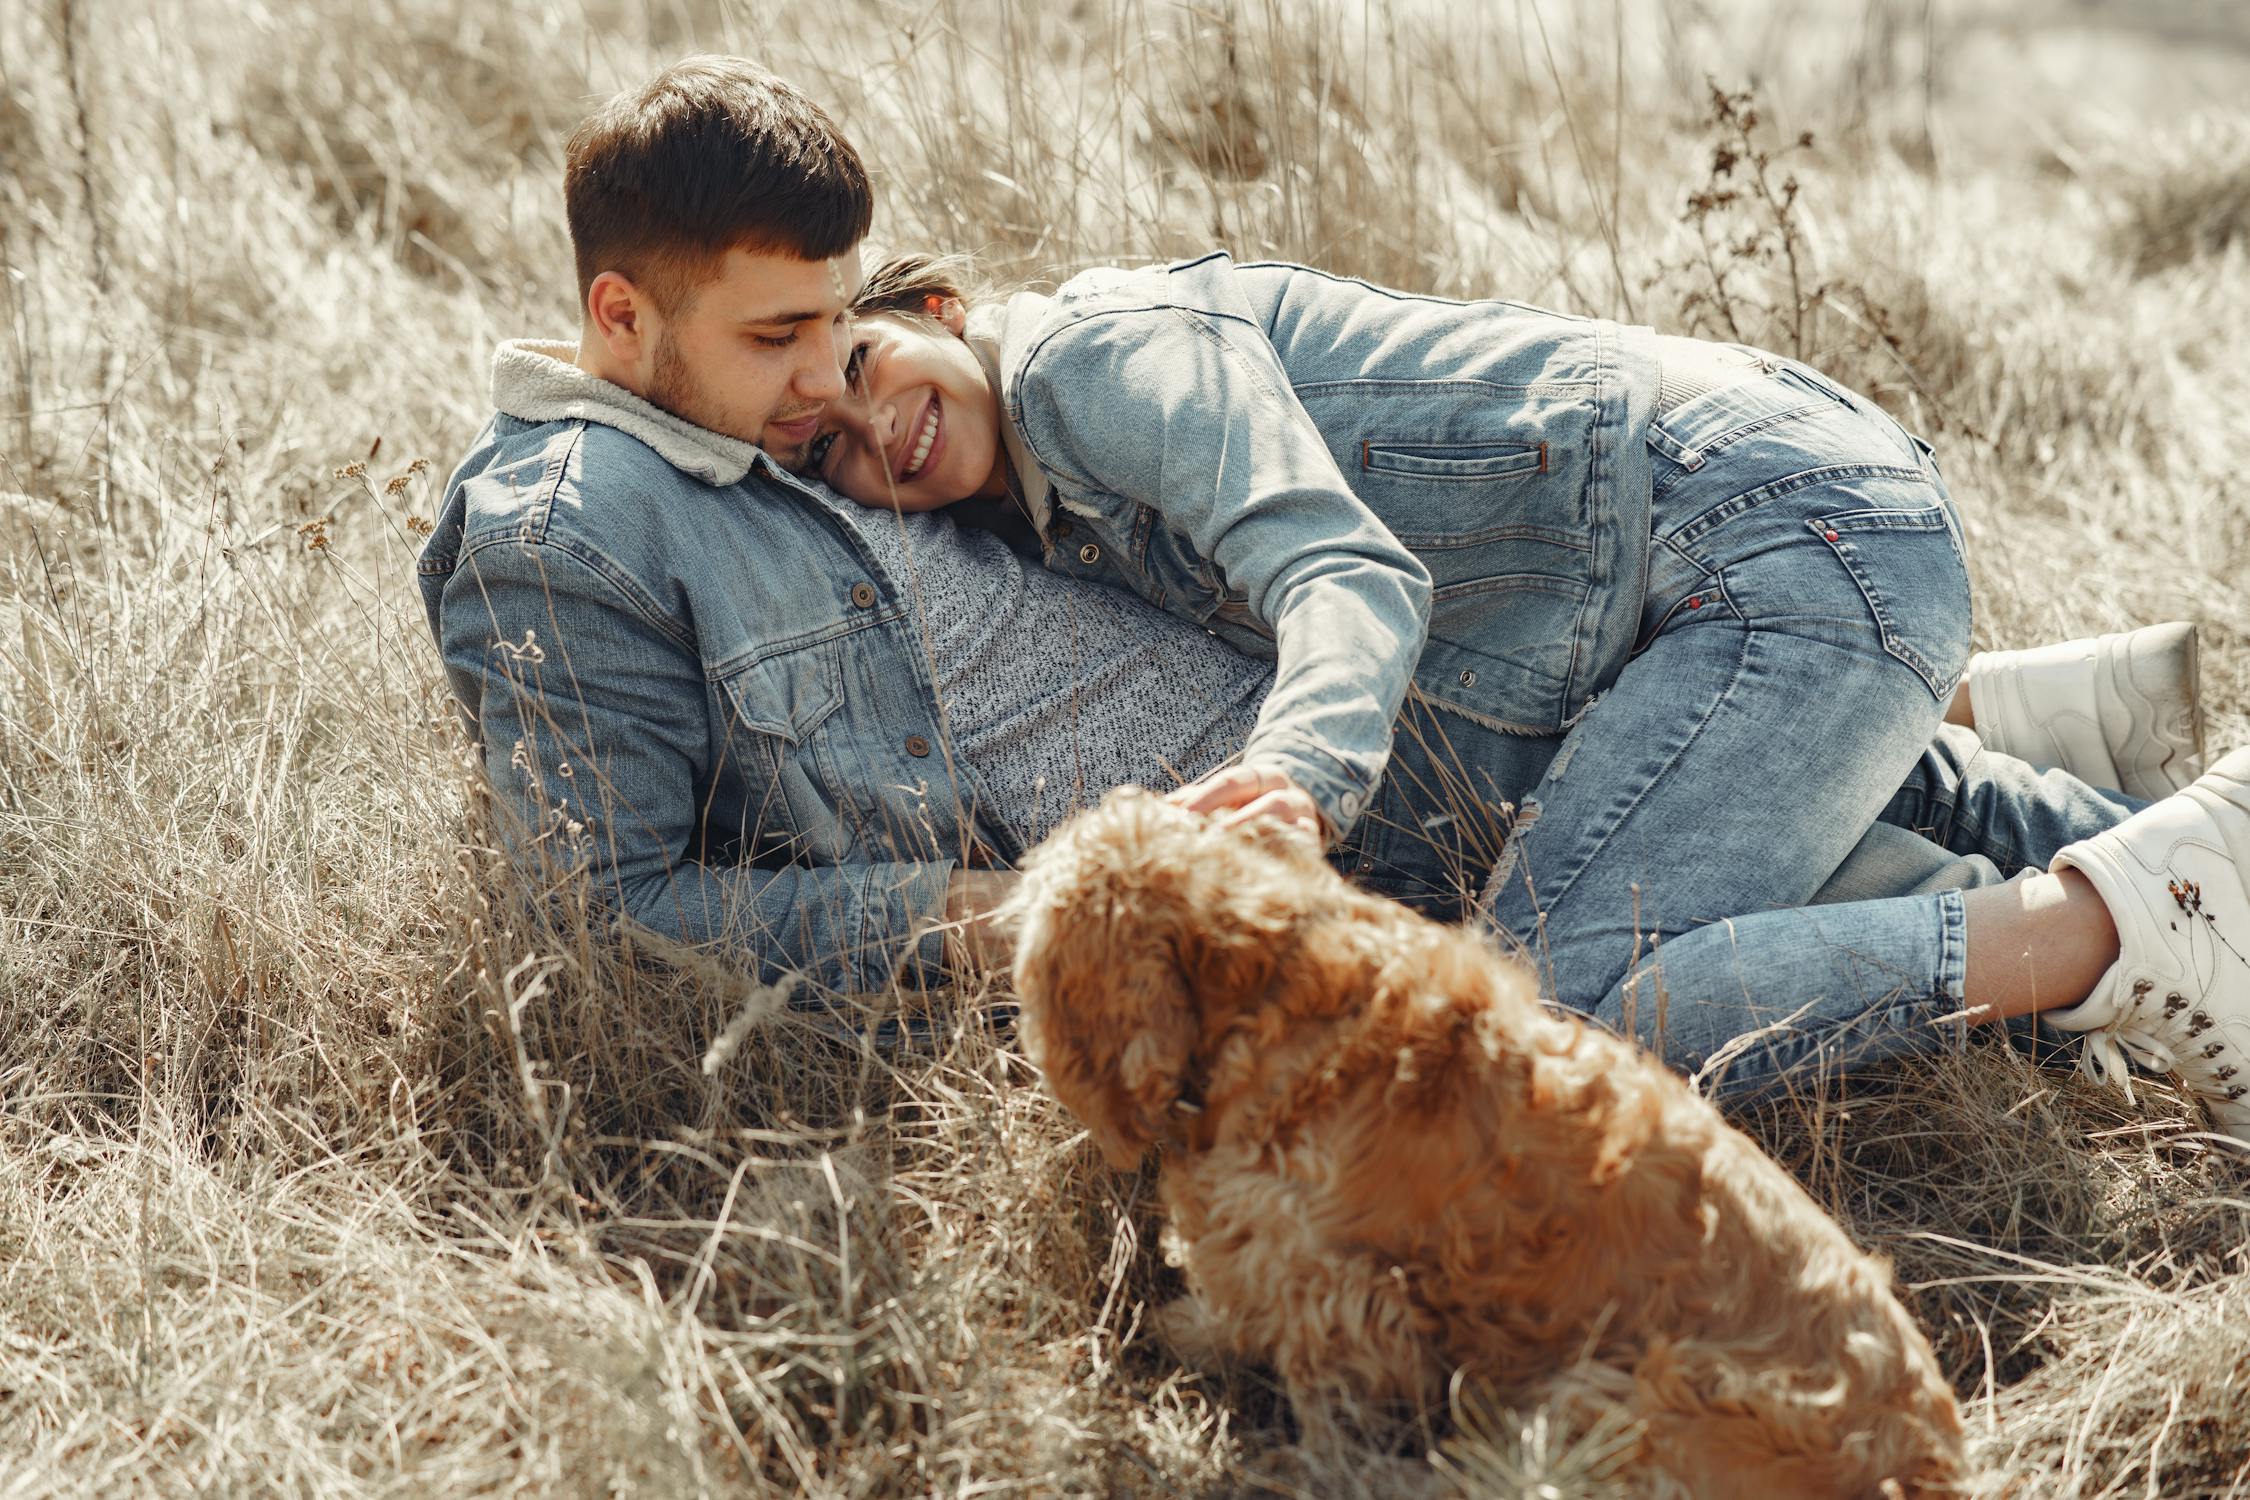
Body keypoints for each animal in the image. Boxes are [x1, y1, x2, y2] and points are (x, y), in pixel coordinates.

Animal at [1008, 791, 1971, 1493]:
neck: (1277, 979)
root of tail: (1936, 1470)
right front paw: (1188, 1326)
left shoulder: (1337, 1294)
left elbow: (1332, 1415)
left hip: (1612, 1402)